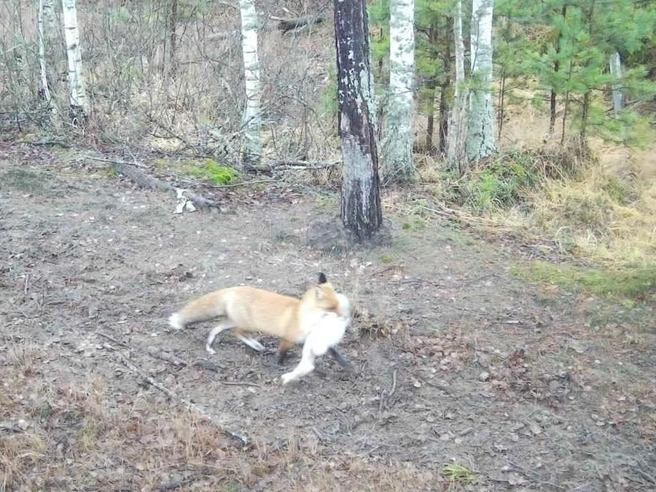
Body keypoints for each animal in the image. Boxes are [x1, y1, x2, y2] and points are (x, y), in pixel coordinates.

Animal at [168, 273, 353, 380]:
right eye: (331, 308)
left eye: (338, 304)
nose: (345, 317)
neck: (303, 315)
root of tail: (233, 289)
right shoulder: (288, 338)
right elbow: (281, 353)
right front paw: (278, 364)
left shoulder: (314, 338)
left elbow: (336, 354)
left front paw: (348, 366)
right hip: (247, 325)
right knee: (236, 332)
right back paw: (257, 346)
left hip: (232, 320)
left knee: (216, 328)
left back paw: (210, 345)